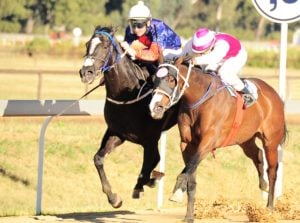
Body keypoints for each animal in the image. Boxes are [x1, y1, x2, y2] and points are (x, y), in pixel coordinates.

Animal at [78, 26, 179, 209]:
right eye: (87, 44)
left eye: (105, 46)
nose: (86, 72)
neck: (126, 95)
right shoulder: (117, 133)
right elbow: (98, 159)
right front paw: (113, 198)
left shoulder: (150, 140)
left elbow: (150, 163)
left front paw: (145, 184)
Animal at [149, 58, 288, 223]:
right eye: (154, 80)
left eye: (171, 79)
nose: (155, 107)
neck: (199, 100)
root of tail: (274, 94)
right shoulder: (186, 144)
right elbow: (191, 175)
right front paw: (189, 215)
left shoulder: (208, 142)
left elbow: (188, 169)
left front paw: (177, 193)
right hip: (245, 140)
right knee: (258, 155)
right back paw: (263, 184)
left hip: (271, 141)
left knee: (272, 170)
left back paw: (270, 208)